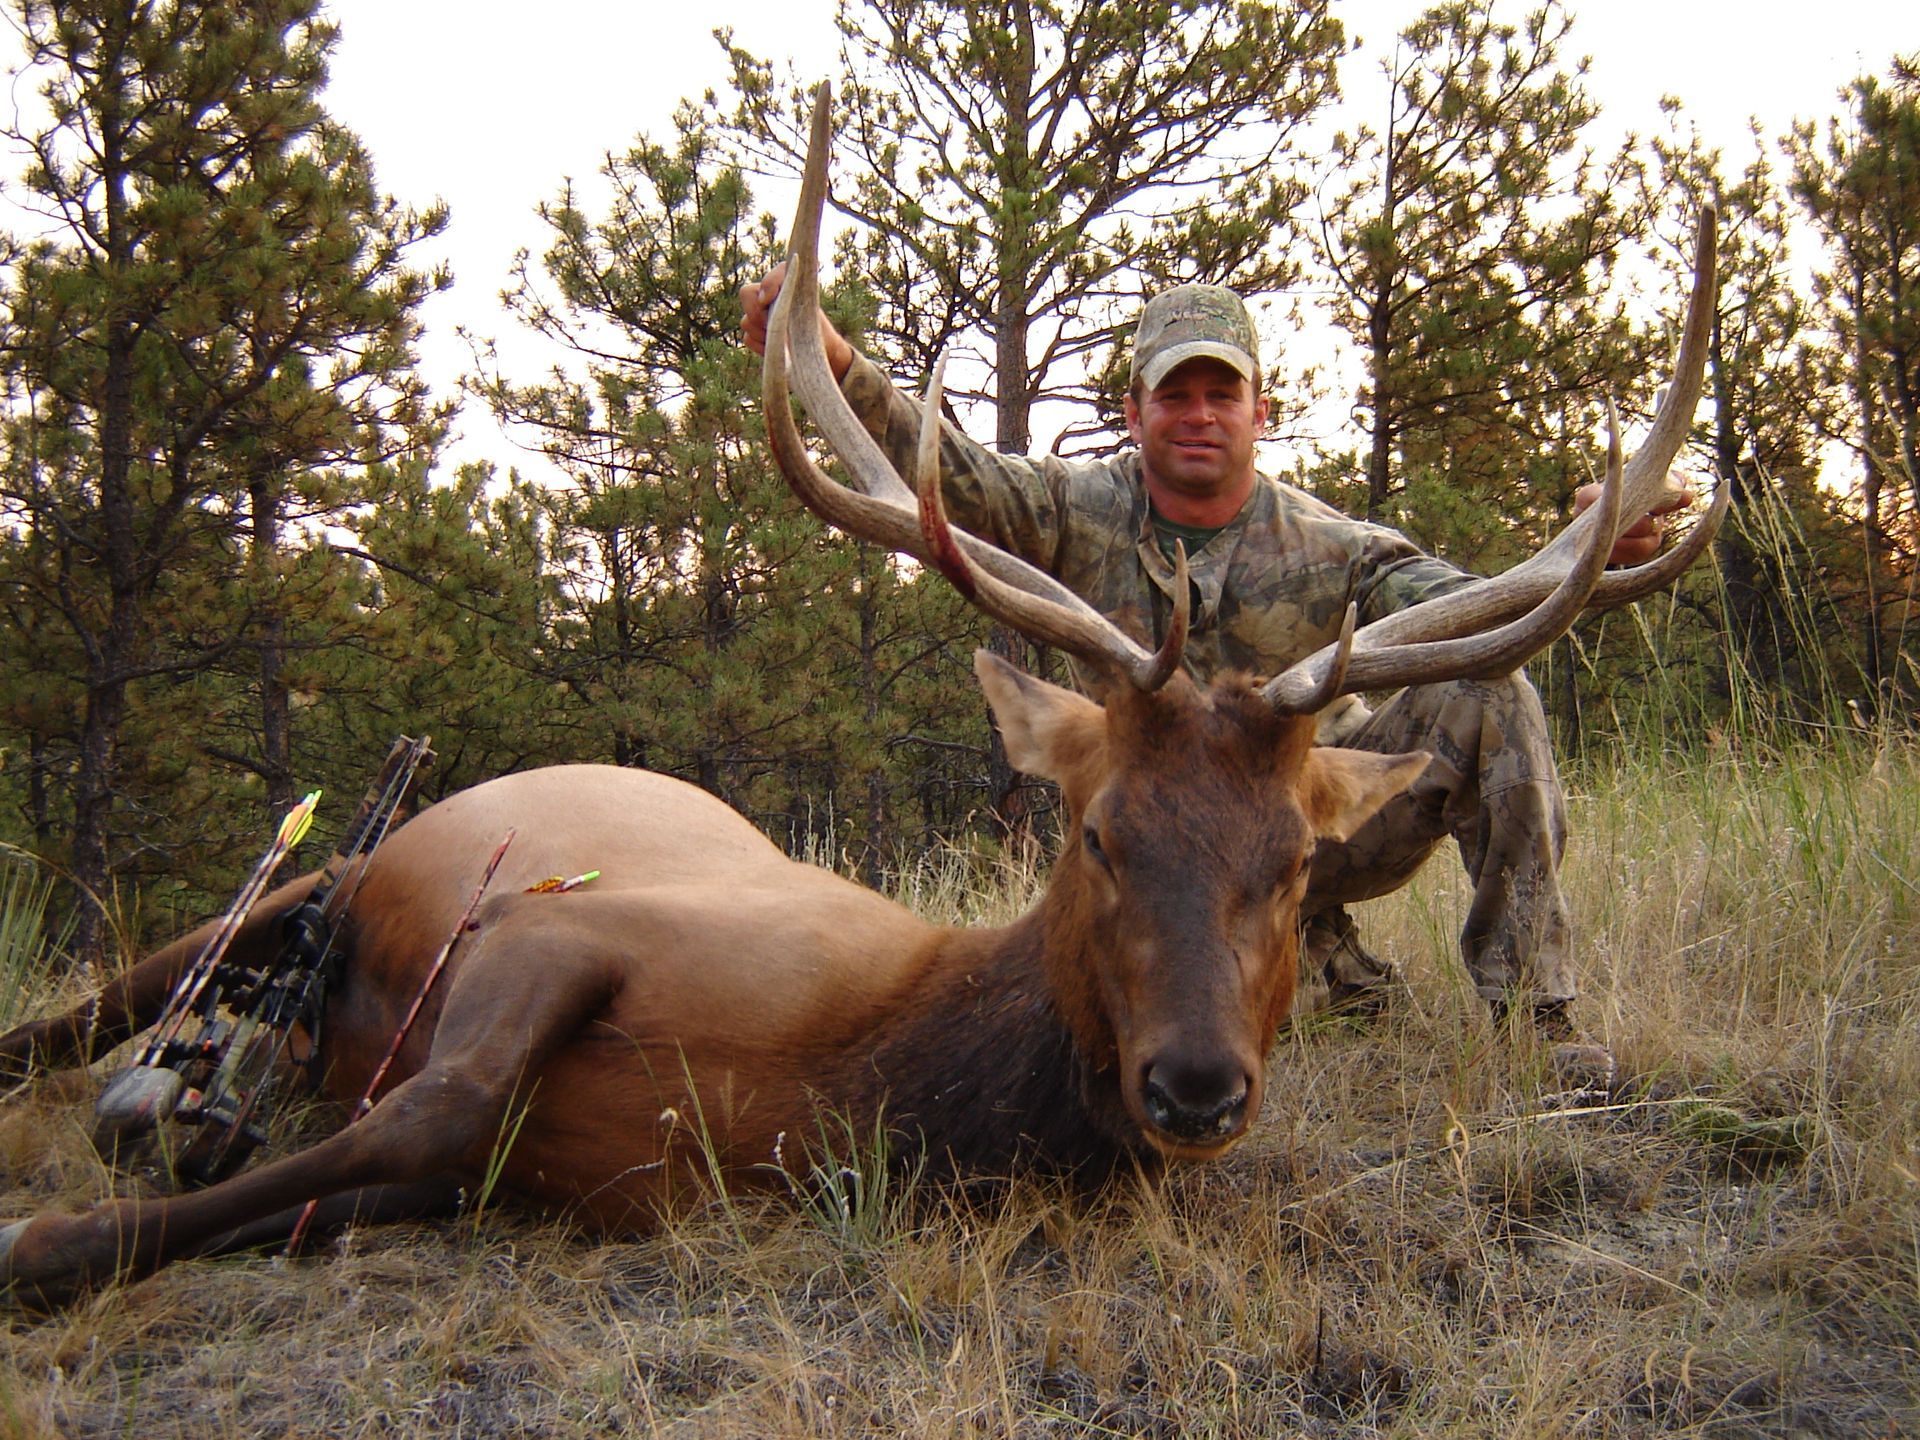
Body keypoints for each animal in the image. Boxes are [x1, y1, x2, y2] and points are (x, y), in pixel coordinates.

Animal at [0, 87, 1724, 1303]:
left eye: (1297, 866)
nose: (1195, 1084)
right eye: (1094, 833)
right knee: (105, 997)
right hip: (334, 875)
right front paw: (48, 1245)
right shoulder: (554, 933)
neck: (847, 1087)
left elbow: (383, 1168)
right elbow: (434, 1107)